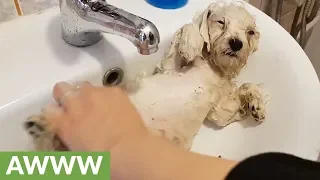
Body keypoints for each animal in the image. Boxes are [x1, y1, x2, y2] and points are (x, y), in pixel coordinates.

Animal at [23, 2, 266, 151]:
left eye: (250, 32)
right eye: (221, 22)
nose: (236, 43)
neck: (212, 67)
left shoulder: (219, 111)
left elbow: (244, 91)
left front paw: (256, 106)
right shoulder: (169, 65)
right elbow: (189, 29)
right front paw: (191, 44)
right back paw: (42, 125)